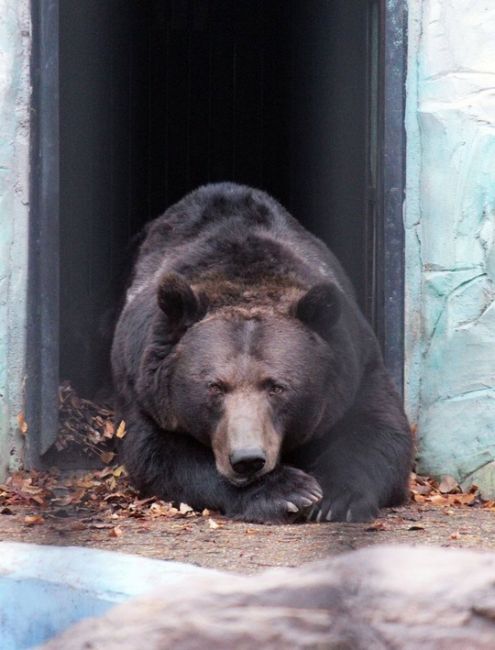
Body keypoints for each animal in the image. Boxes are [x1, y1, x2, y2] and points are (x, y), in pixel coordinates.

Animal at [112, 182, 414, 520]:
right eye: (214, 387)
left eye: (277, 387)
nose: (247, 459)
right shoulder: (141, 386)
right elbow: (157, 453)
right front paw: (288, 490)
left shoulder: (356, 365)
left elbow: (378, 429)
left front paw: (336, 500)